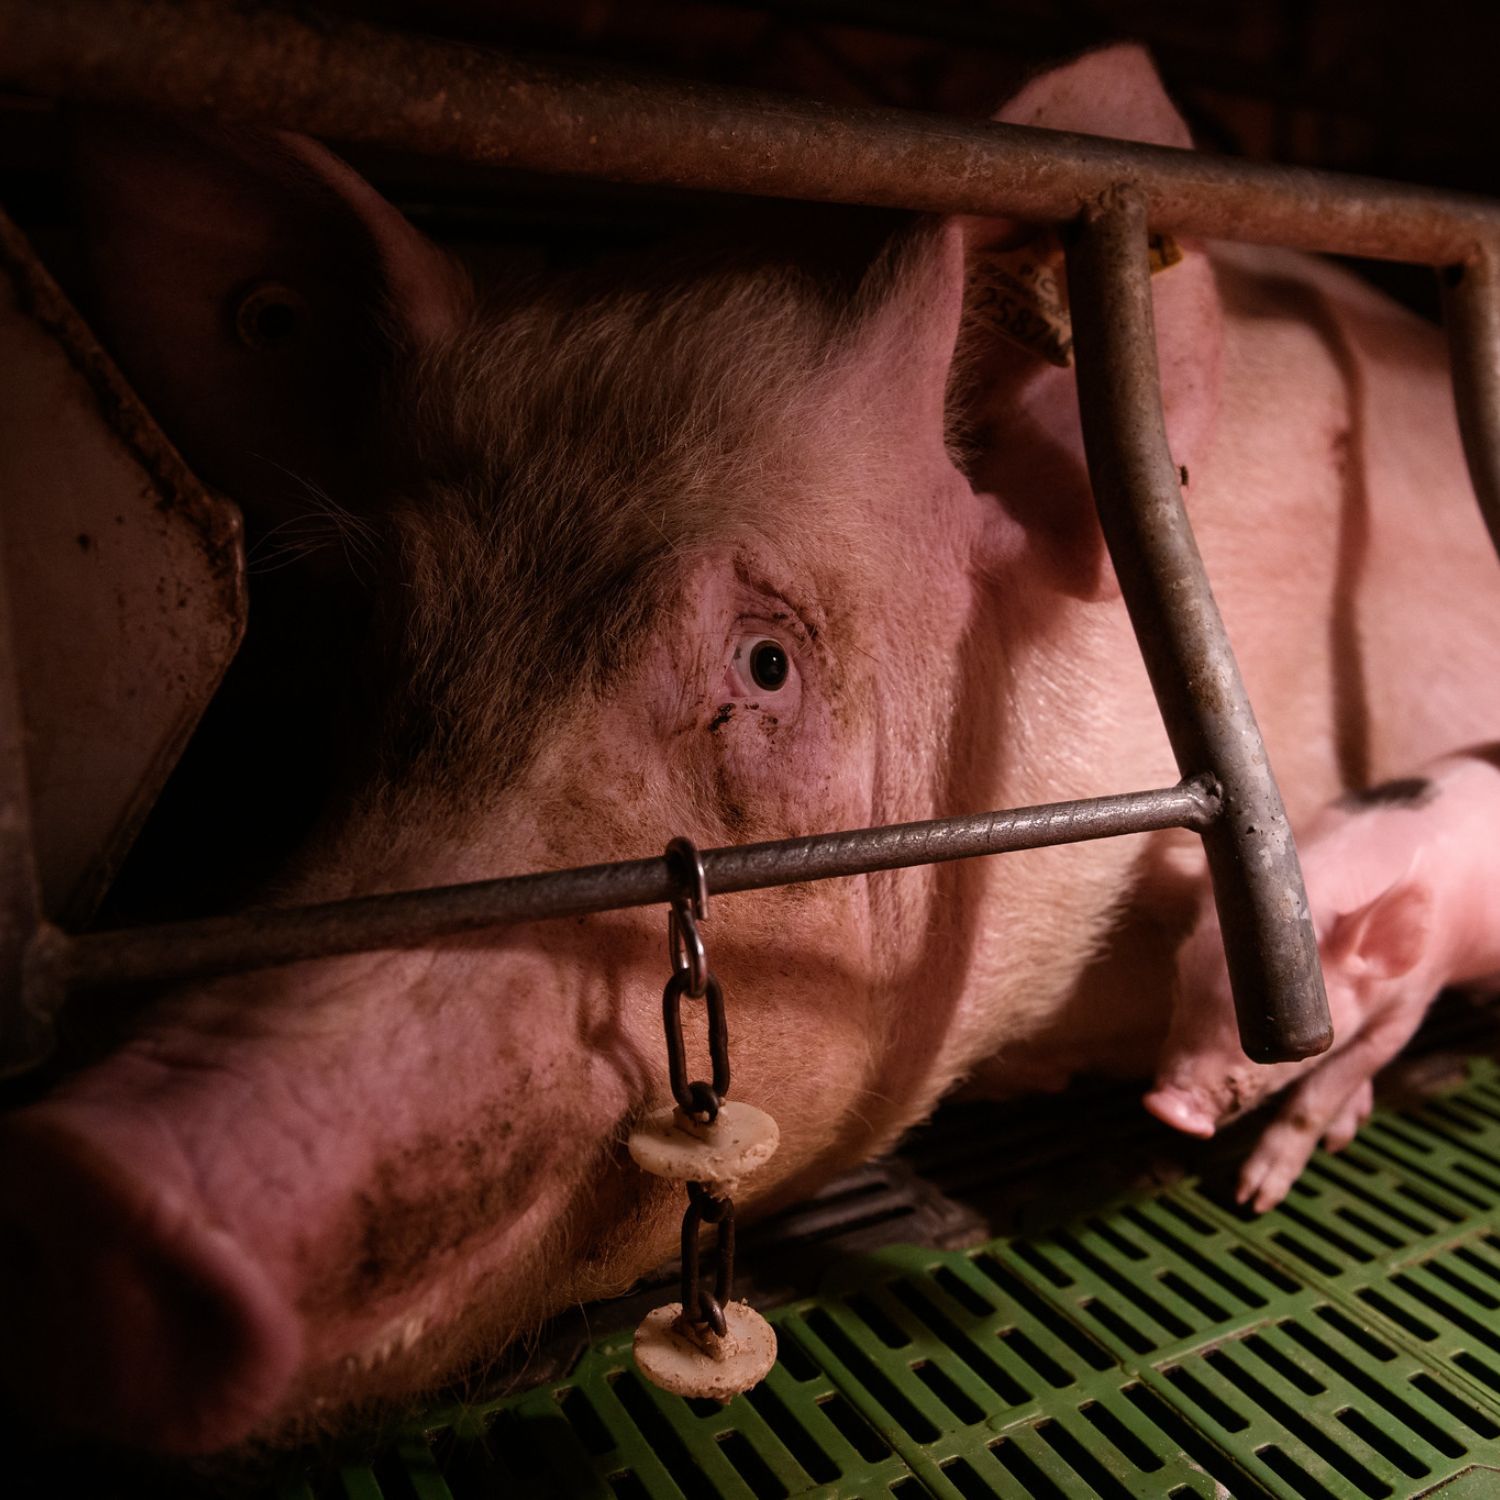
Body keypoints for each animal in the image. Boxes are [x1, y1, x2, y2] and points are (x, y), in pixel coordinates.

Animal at [1146, 748, 1500, 1211]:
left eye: (1276, 1046)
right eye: (1178, 985)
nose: (1166, 1108)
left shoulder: (1413, 996)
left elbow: (1322, 1091)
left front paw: (1254, 1199)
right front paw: (1342, 1131)